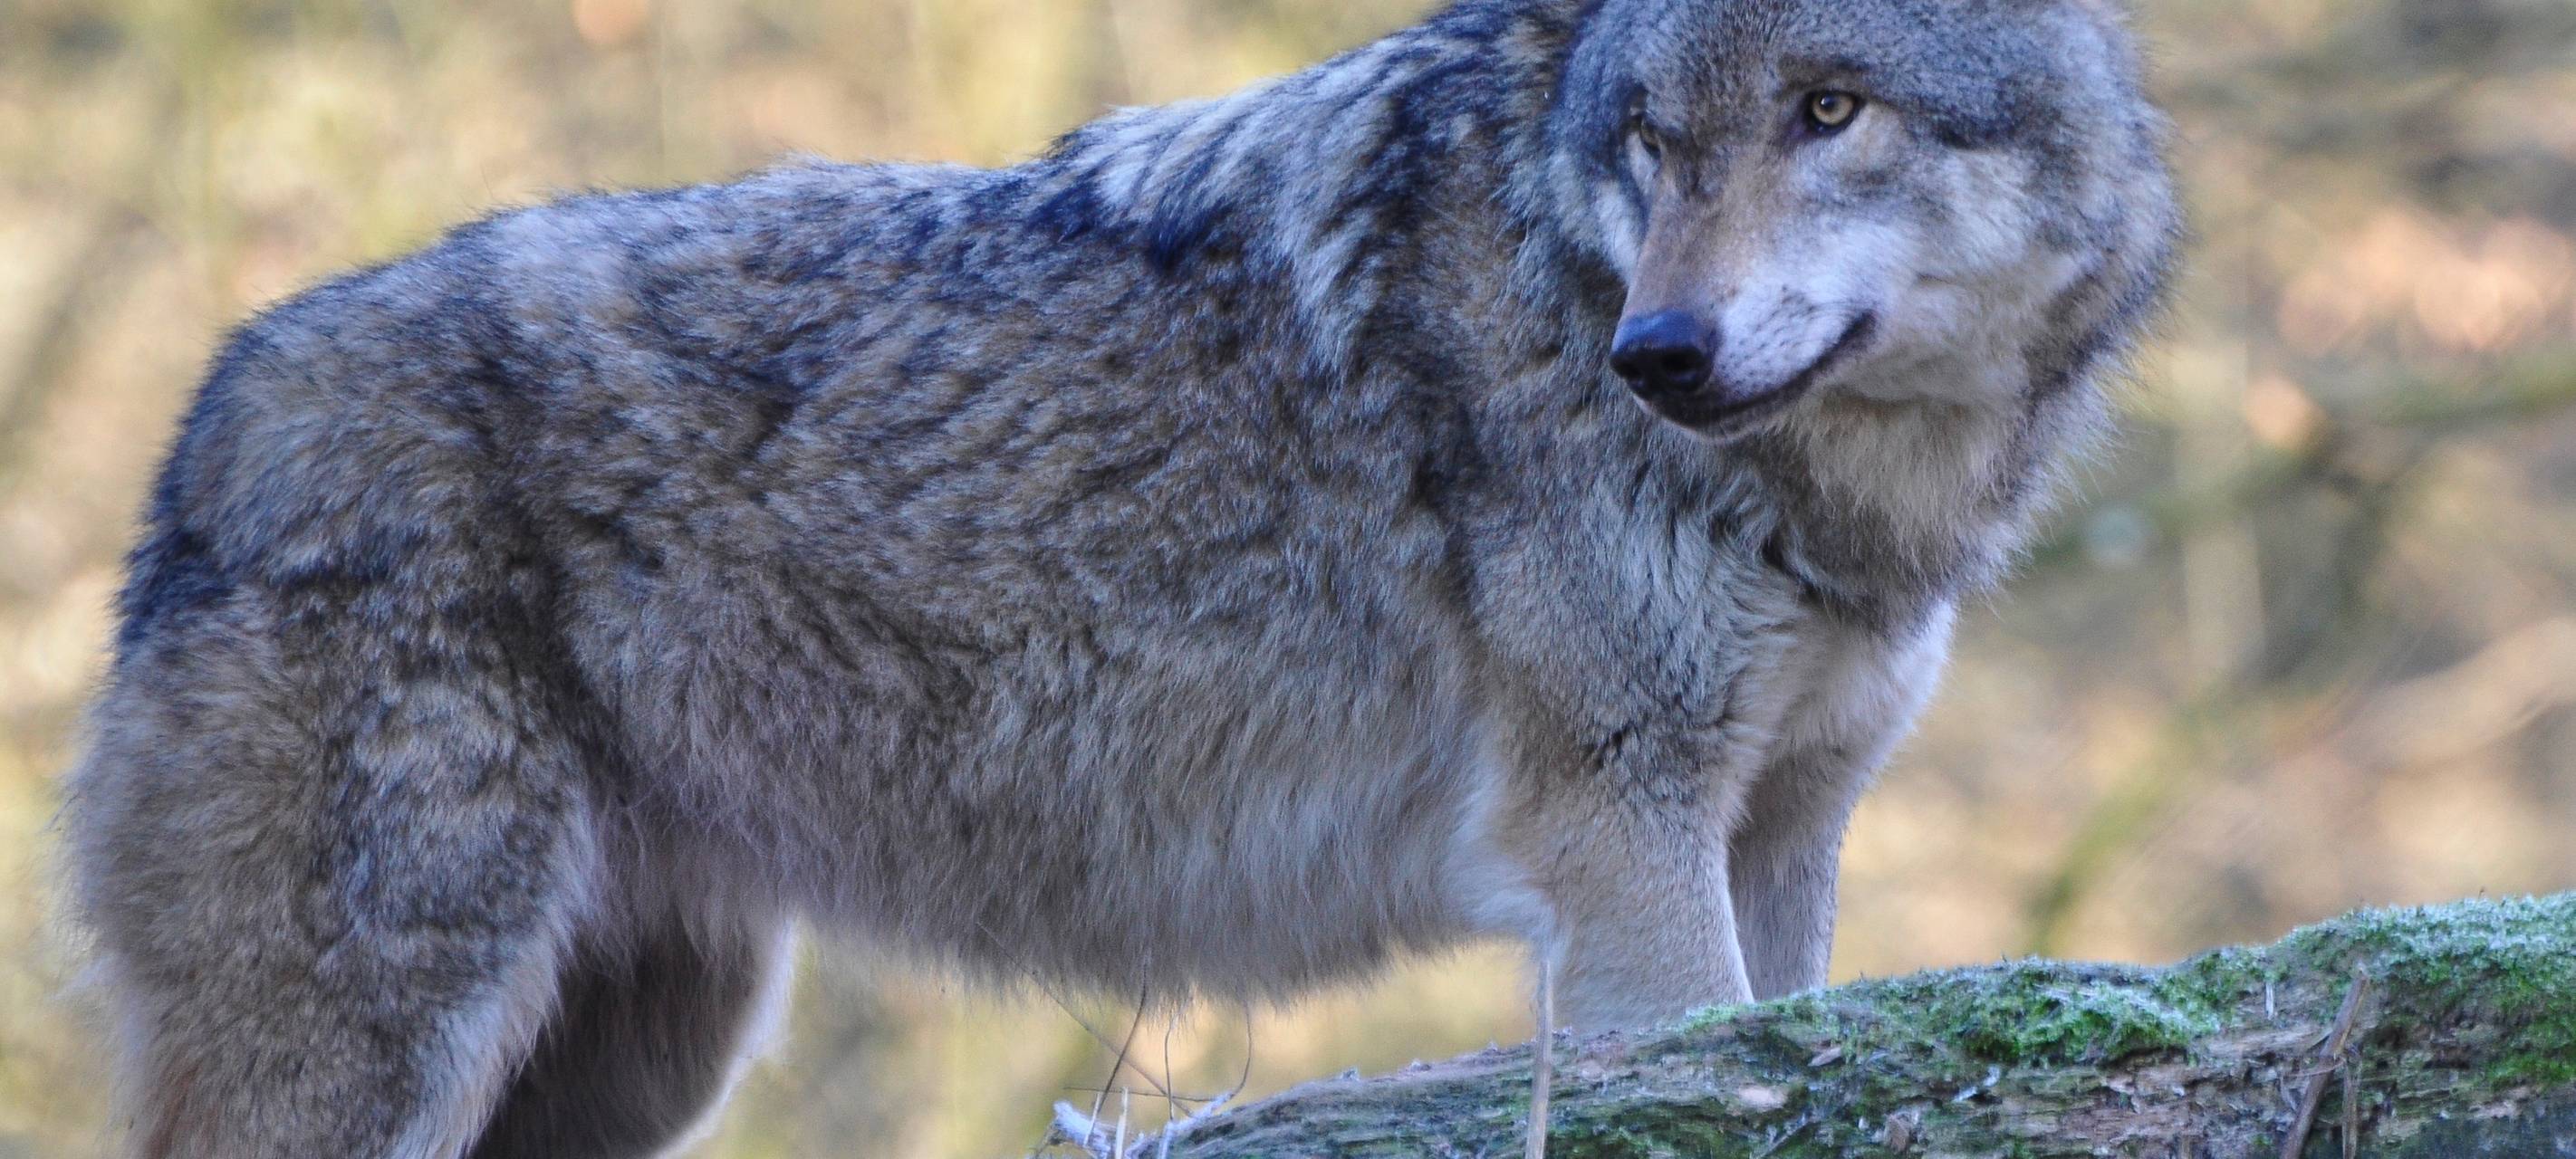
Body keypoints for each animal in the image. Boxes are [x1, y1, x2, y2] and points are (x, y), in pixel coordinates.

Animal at [64, 0, 2176, 1153]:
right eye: (1649, 141)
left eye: (1829, 108)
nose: (1652, 349)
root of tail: (211, 416)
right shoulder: (1619, 833)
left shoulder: (1786, 833)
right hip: (400, 1038)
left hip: (639, 1067)